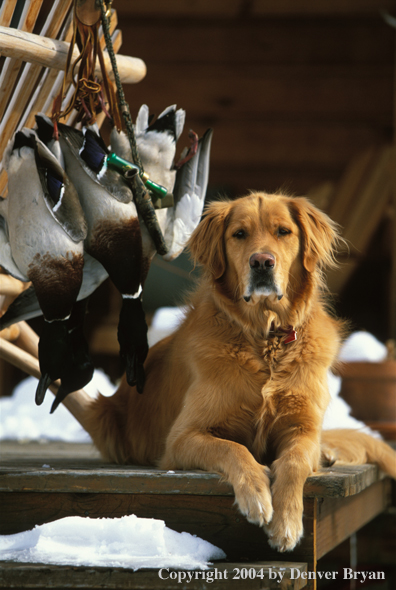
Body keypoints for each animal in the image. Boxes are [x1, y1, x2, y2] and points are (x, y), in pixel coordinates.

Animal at [86, 193, 396, 556]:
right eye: (239, 234)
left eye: (283, 231)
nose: (261, 262)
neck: (266, 338)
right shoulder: (181, 438)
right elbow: (233, 448)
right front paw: (257, 495)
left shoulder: (302, 428)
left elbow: (295, 462)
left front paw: (287, 522)